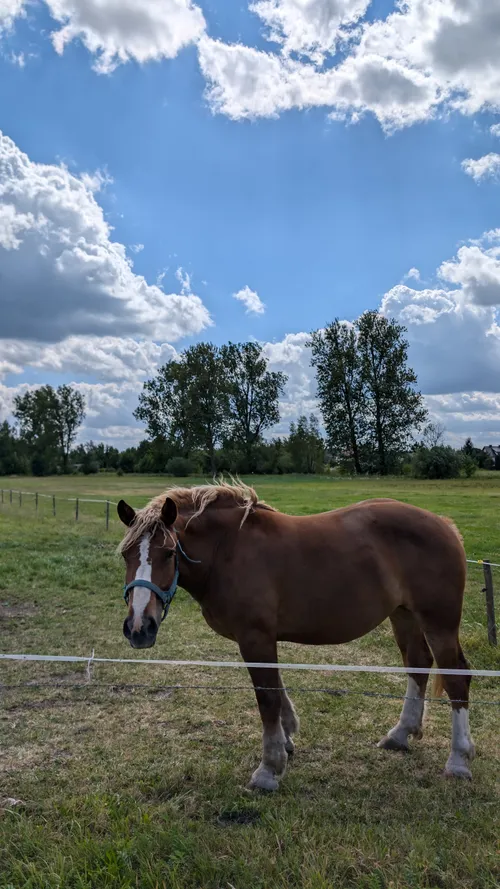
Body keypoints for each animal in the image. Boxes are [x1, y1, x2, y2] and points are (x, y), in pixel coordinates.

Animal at [117, 482, 476, 788]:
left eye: (168, 553)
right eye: (126, 554)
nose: (139, 628)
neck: (228, 550)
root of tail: (444, 524)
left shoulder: (256, 637)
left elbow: (267, 698)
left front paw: (269, 768)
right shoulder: (261, 638)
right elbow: (276, 690)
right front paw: (287, 739)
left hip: (439, 623)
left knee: (456, 676)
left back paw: (458, 760)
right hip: (403, 616)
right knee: (417, 664)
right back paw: (400, 734)